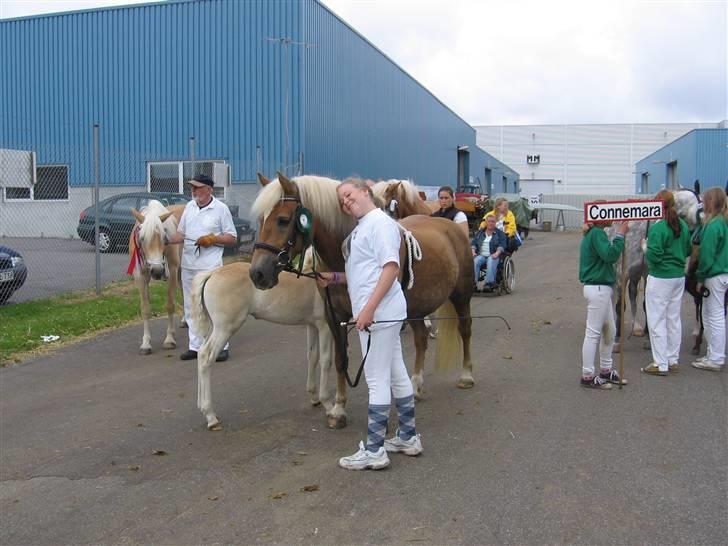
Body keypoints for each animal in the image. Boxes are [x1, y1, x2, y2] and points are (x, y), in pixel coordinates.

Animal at [191, 248, 332, 430]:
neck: (315, 278)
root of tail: (212, 273)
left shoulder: (312, 325)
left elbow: (312, 356)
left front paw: (314, 398)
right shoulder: (325, 326)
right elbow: (326, 360)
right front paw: (328, 405)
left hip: (213, 328)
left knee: (200, 354)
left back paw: (203, 408)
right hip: (224, 329)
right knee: (206, 357)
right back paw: (210, 416)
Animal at [249, 172, 478, 428]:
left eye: (283, 220)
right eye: (261, 220)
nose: (257, 273)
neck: (343, 259)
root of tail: (452, 227)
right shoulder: (334, 316)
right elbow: (341, 360)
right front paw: (338, 410)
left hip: (461, 296)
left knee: (465, 329)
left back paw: (466, 375)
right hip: (415, 307)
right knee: (421, 340)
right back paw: (416, 386)